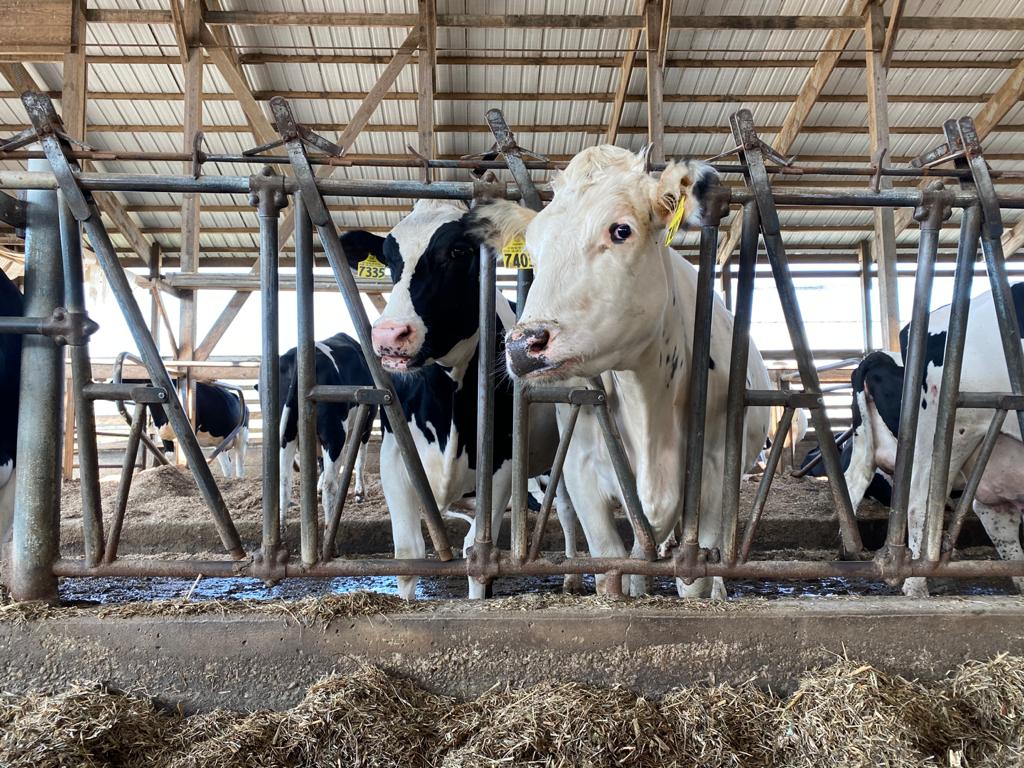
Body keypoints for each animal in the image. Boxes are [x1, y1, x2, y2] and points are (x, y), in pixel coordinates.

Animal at [276, 332, 376, 526]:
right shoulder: (367, 422)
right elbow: (360, 459)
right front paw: (360, 493)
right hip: (334, 435)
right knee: (330, 486)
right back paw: (330, 528)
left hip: (287, 433)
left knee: (284, 481)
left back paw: (282, 526)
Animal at [339, 198, 579, 600]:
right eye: (389, 258)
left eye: (458, 251)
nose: (390, 334)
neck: (445, 401)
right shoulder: (394, 455)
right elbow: (408, 554)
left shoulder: (500, 461)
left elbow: (475, 555)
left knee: (564, 506)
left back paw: (573, 575)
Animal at [468, 145, 772, 598]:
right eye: (533, 253)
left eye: (621, 230)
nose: (522, 345)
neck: (646, 400)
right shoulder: (580, 472)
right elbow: (611, 565)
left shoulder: (715, 475)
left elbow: (695, 575)